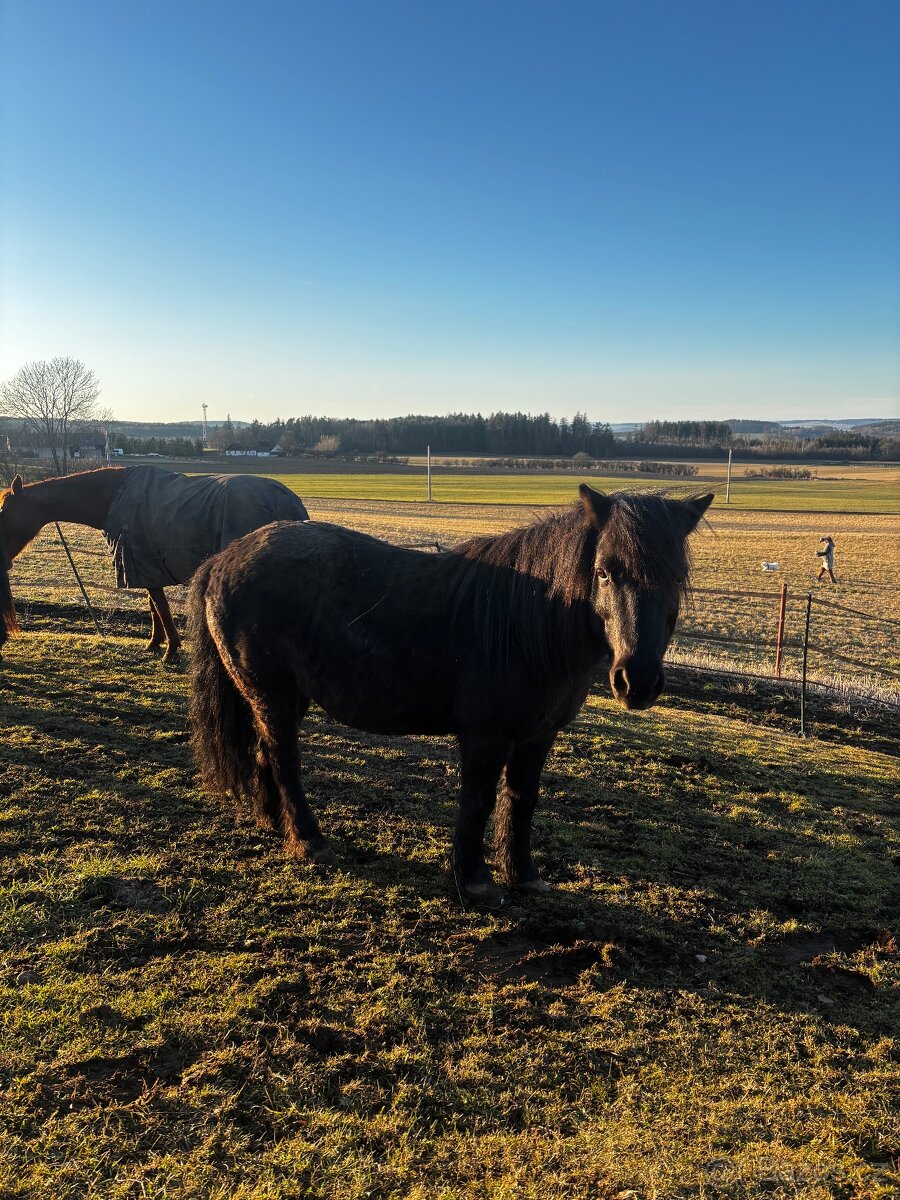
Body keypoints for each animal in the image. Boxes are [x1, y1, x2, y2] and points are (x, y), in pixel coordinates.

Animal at [0, 465, 309, 662]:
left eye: (4, 511)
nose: (2, 561)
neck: (113, 497)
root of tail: (289, 502)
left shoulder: (143, 562)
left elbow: (160, 607)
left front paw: (170, 650)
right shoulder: (144, 567)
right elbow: (153, 606)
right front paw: (154, 643)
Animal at [187, 484, 712, 904]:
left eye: (676, 577)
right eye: (604, 572)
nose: (637, 681)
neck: (527, 623)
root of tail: (220, 560)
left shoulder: (537, 738)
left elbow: (522, 799)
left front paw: (524, 875)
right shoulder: (486, 738)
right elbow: (478, 801)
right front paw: (475, 880)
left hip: (283, 700)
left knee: (265, 755)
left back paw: (275, 825)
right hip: (273, 697)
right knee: (283, 760)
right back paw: (310, 841)